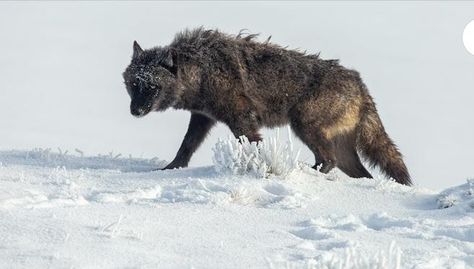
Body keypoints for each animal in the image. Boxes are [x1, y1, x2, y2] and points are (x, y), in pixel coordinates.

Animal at [122, 28, 412, 185]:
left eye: (153, 87)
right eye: (134, 84)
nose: (135, 111)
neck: (202, 71)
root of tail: (361, 86)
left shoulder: (241, 119)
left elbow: (253, 147)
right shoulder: (202, 118)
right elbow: (186, 146)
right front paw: (169, 169)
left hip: (303, 125)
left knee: (326, 160)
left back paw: (301, 170)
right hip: (342, 150)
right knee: (362, 174)